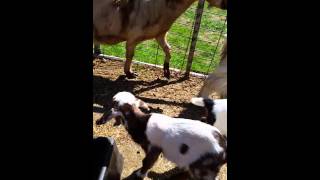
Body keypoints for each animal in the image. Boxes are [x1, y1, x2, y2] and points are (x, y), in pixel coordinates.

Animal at [96, 92, 226, 179]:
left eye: (114, 104)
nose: (98, 121)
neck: (142, 123)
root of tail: (223, 149)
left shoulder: (154, 149)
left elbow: (146, 162)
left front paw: (140, 174)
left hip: (203, 169)